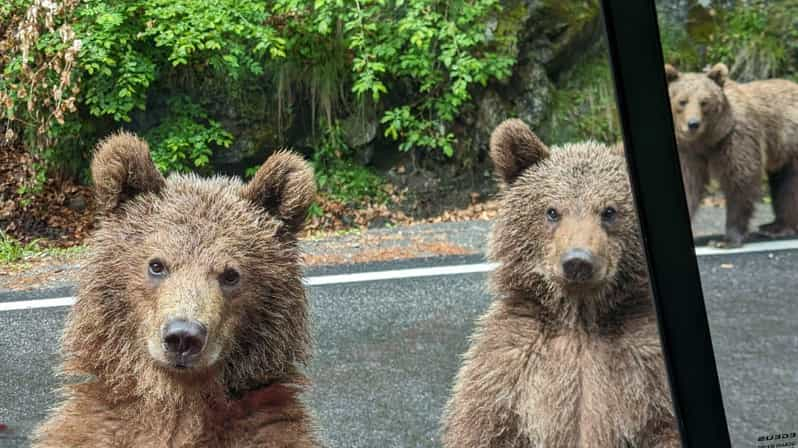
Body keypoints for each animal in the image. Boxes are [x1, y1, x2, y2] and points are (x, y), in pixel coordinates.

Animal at [33, 133, 322, 448]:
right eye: (157, 265)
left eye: (230, 275)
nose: (183, 336)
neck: (177, 395)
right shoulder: (97, 427)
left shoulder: (267, 428)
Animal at [440, 119, 680, 448]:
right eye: (552, 211)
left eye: (609, 211)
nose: (578, 261)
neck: (579, 319)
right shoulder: (507, 368)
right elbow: (483, 428)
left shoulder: (645, 364)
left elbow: (663, 426)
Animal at [664, 61, 798, 247]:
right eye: (682, 101)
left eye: (704, 102)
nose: (693, 124)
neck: (707, 140)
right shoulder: (688, 151)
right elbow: (689, 184)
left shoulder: (735, 138)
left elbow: (740, 181)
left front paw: (726, 240)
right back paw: (775, 226)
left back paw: (778, 229)